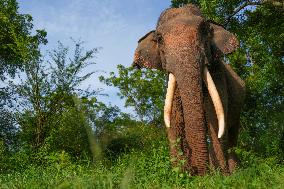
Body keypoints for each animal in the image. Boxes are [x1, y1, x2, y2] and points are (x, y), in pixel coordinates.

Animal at [132, 4, 245, 176]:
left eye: (204, 29)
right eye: (159, 39)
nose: (198, 173)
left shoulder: (218, 74)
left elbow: (215, 118)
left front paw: (221, 176)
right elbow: (173, 119)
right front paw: (180, 174)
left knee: (231, 134)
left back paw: (235, 171)